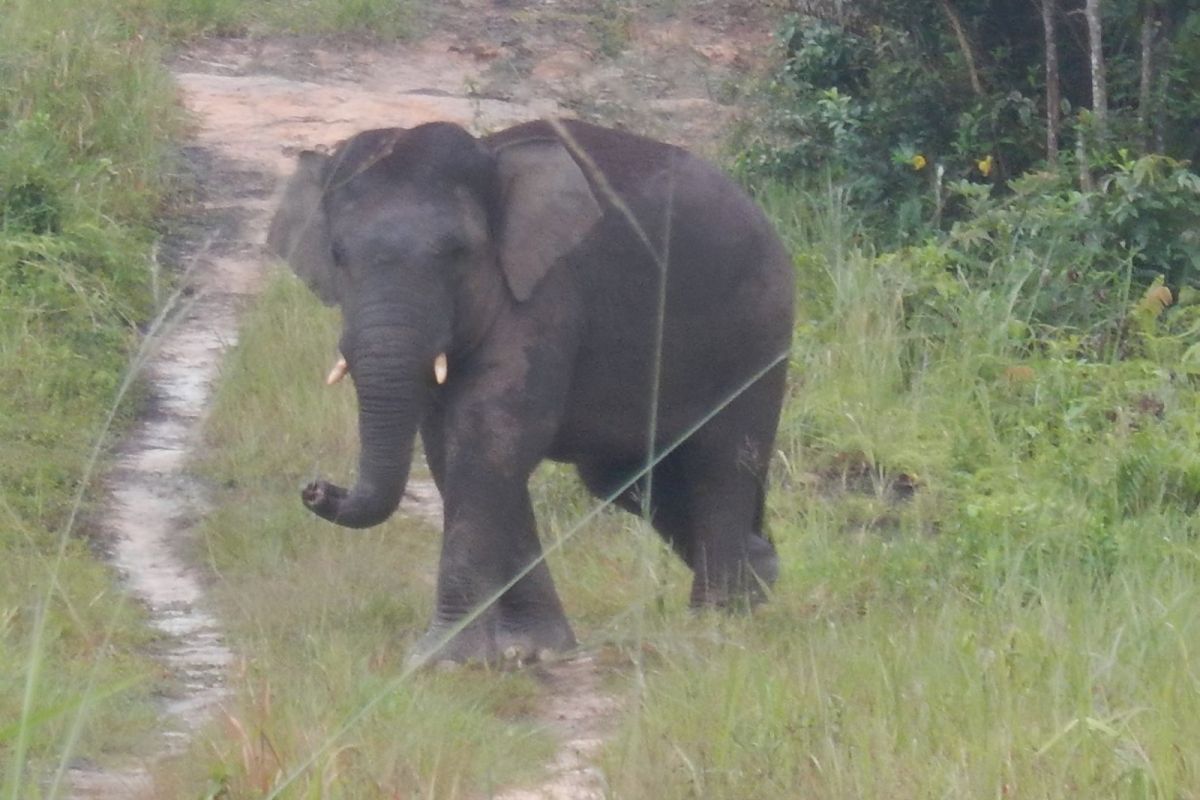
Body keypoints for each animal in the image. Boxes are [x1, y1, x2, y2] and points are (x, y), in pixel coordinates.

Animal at [267, 118, 794, 665]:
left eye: (458, 252)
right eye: (337, 255)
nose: (316, 489)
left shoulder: (545, 292)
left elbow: (491, 434)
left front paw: (442, 661)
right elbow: (453, 449)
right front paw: (533, 650)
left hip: (757, 324)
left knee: (722, 459)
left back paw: (720, 617)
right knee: (630, 479)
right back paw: (761, 575)